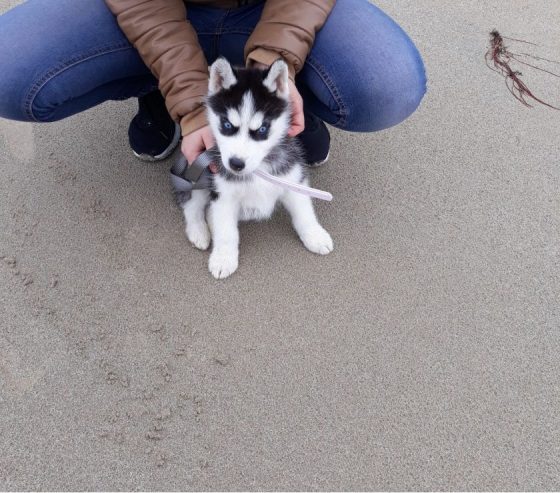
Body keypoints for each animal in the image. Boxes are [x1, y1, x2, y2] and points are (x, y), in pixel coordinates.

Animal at [182, 57, 334, 278]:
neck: (258, 168)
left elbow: (304, 212)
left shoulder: (292, 178)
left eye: (262, 129)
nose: (236, 164)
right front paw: (223, 258)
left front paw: (315, 235)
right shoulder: (223, 193)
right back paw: (199, 231)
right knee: (191, 205)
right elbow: (226, 232)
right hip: (199, 173)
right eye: (227, 125)